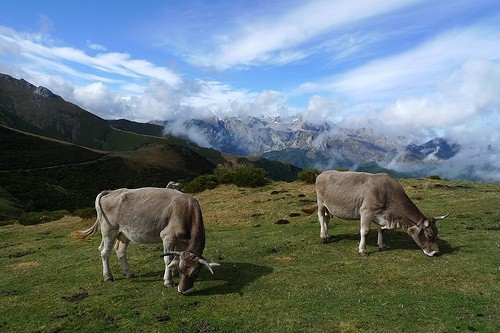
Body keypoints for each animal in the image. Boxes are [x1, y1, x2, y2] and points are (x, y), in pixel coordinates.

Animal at [73, 187, 219, 294]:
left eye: (195, 272)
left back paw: (129, 273)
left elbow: (175, 258)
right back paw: (108, 276)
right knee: (105, 252)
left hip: (123, 232)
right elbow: (168, 259)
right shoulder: (168, 236)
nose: (184, 291)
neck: (187, 210)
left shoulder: (181, 242)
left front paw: (173, 272)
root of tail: (112, 191)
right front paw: (168, 281)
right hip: (109, 229)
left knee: (120, 251)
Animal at [302, 170, 452, 255]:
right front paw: (362, 250)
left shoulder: (381, 215)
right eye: (429, 235)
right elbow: (365, 232)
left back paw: (328, 234)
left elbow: (382, 230)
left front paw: (382, 245)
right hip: (321, 202)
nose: (436, 252)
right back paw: (323, 237)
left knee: (327, 218)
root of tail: (322, 173)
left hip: (329, 206)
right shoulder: (366, 212)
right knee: (321, 218)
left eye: (437, 234)